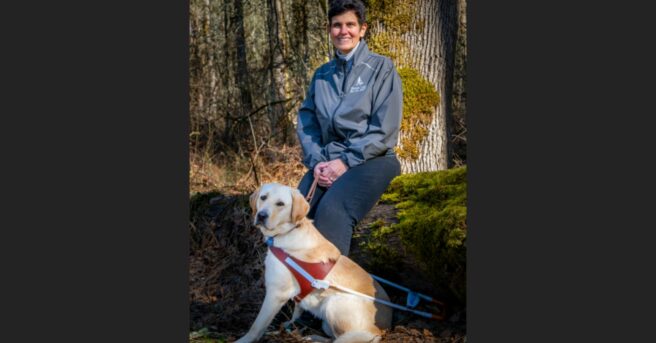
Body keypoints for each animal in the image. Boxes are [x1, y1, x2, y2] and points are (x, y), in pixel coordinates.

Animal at [234, 184, 392, 342]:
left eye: (280, 204)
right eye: (263, 197)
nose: (261, 215)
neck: (287, 232)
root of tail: (381, 331)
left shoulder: (276, 293)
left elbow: (257, 326)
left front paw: (244, 340)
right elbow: (296, 311)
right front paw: (290, 325)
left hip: (334, 304)